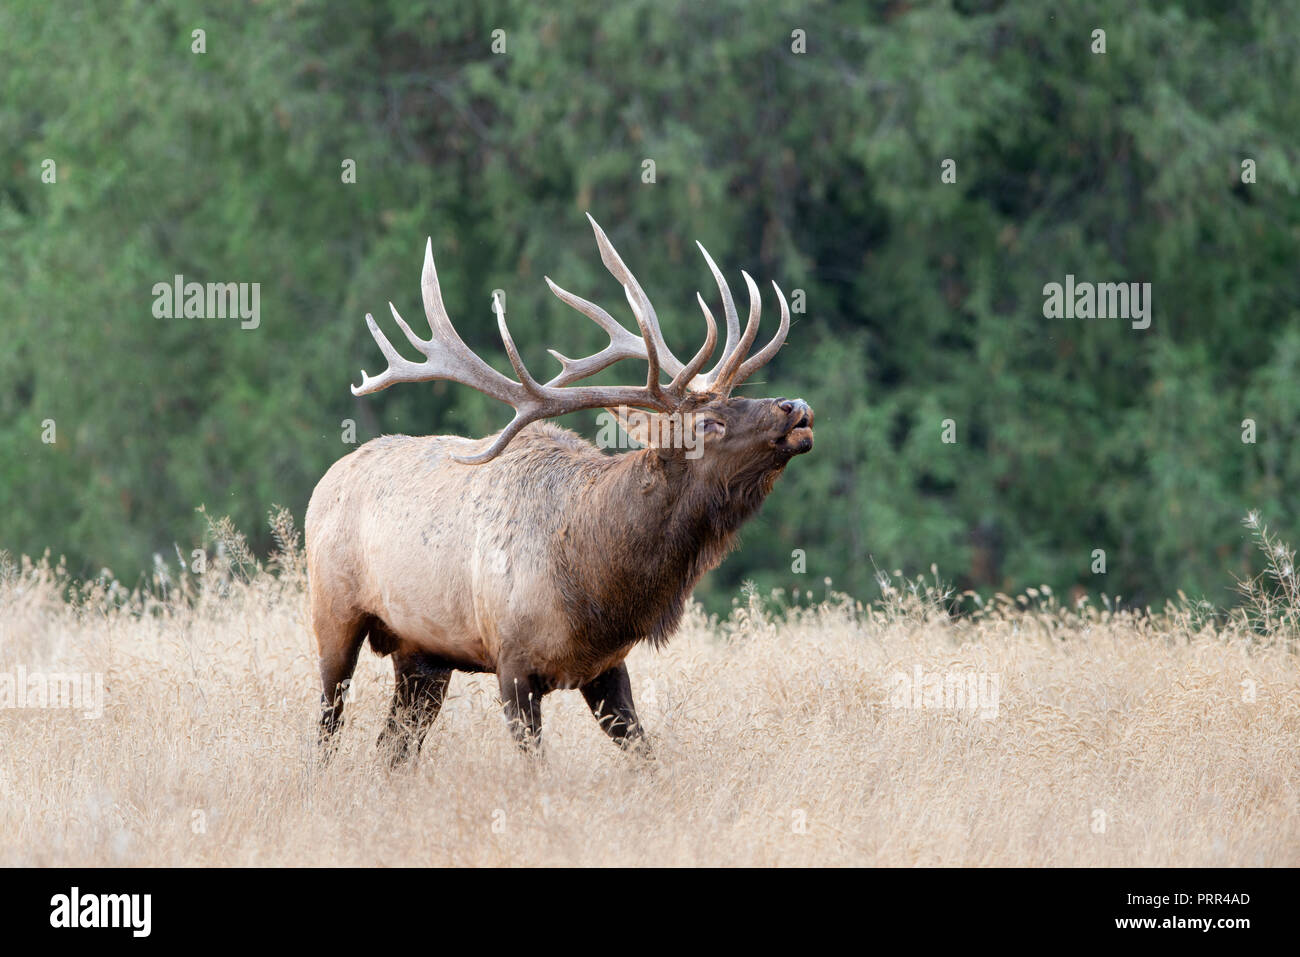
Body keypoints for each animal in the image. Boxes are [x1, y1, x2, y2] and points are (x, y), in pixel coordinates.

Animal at [305, 214, 813, 764]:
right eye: (708, 424)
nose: (796, 406)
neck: (597, 583)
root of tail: (325, 481)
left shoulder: (608, 667)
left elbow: (645, 757)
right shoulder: (512, 663)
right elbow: (536, 768)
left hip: (420, 653)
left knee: (392, 749)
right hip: (333, 614)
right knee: (327, 726)